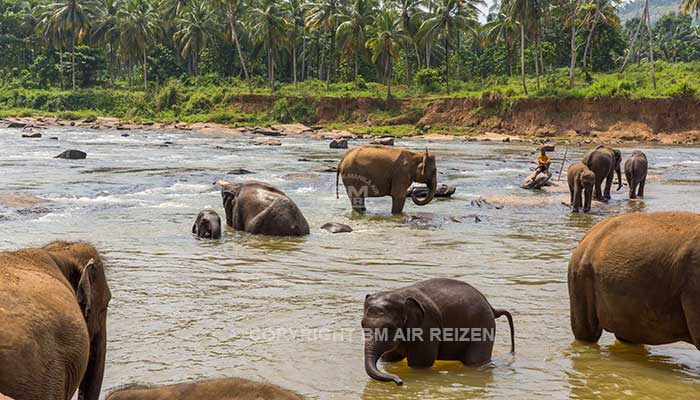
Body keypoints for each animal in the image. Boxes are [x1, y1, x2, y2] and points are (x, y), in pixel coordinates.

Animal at [360, 278, 516, 384]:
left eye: (389, 328)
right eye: (362, 325)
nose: (400, 381)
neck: (400, 294)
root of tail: (492, 308)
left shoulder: (427, 326)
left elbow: (420, 363)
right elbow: (390, 357)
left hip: (483, 327)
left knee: (474, 361)